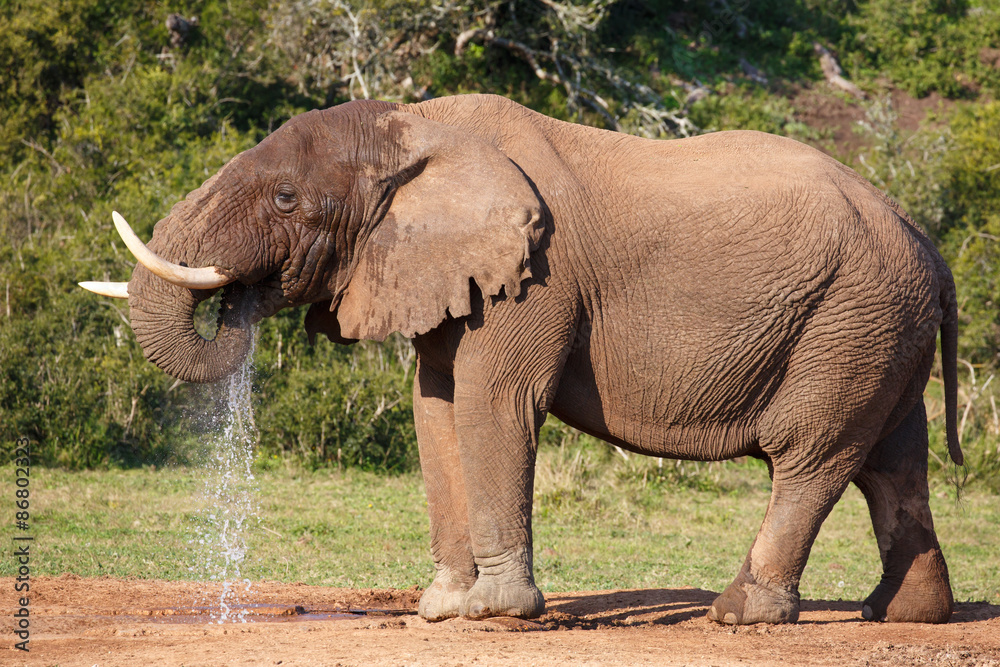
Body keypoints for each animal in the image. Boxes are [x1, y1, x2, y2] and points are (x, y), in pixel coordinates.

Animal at [81, 93, 964, 625]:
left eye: (287, 199)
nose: (241, 300)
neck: (417, 126)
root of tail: (930, 245)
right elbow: (434, 406)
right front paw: (439, 607)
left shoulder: (537, 275)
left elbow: (492, 402)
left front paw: (494, 612)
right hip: (880, 329)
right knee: (893, 460)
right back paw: (900, 614)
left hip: (850, 320)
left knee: (810, 455)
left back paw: (739, 614)